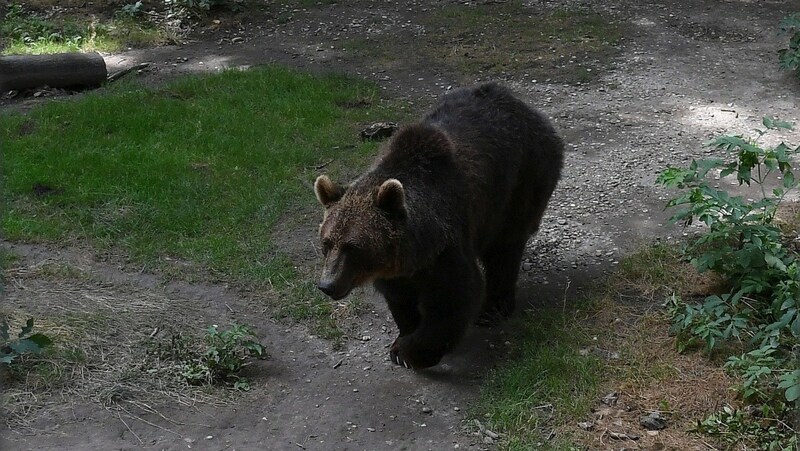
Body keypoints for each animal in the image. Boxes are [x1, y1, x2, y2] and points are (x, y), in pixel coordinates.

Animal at [312, 83, 564, 370]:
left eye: (353, 246)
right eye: (327, 242)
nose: (327, 284)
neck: (416, 249)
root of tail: (528, 110)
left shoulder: (447, 246)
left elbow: (454, 297)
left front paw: (408, 351)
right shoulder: (396, 269)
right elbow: (400, 298)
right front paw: (405, 332)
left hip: (520, 183)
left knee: (505, 247)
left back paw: (494, 307)